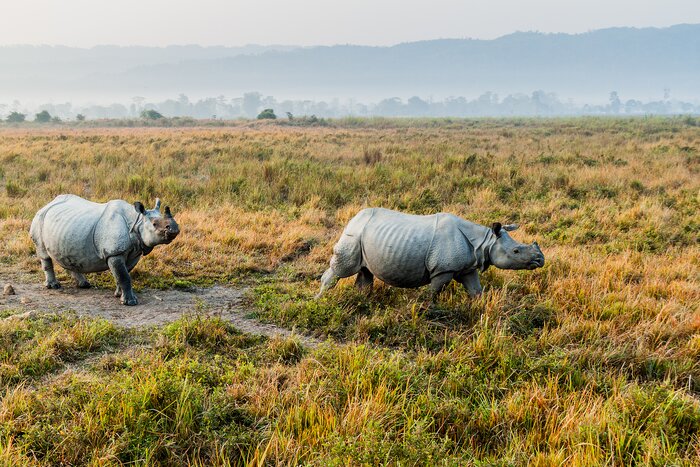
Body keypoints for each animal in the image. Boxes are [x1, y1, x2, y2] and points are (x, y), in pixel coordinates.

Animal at [30, 194, 180, 305]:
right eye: (154, 224)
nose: (174, 229)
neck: (137, 221)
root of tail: (47, 204)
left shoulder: (133, 253)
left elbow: (123, 274)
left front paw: (119, 295)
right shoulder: (114, 253)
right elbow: (123, 276)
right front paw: (130, 302)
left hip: (66, 227)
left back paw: (84, 285)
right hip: (39, 219)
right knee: (43, 253)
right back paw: (54, 286)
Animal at [317, 208, 544, 298]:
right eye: (516, 251)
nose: (540, 259)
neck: (485, 241)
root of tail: (354, 217)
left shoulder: (467, 267)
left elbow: (475, 290)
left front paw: (481, 309)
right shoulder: (443, 269)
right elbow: (435, 292)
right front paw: (428, 310)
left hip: (365, 236)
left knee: (365, 271)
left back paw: (362, 300)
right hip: (354, 234)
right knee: (342, 270)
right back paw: (319, 299)